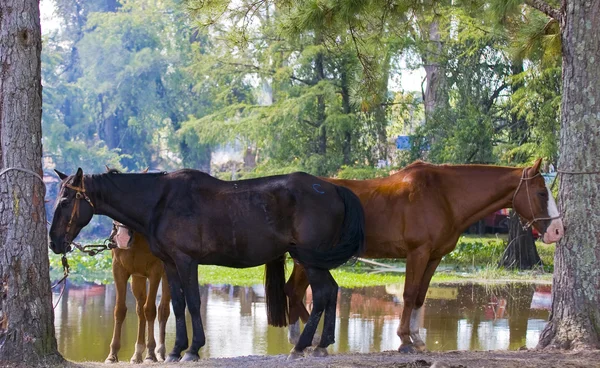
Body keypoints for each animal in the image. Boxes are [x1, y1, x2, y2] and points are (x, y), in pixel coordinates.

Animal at [104, 220, 171, 364]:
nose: (123, 238)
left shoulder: (155, 271)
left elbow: (150, 310)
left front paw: (150, 354)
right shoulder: (118, 269)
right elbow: (119, 310)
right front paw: (112, 354)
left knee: (163, 309)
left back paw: (160, 352)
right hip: (137, 278)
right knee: (140, 310)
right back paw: (137, 354)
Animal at [284, 159, 564, 354]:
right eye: (541, 193)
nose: (558, 230)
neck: (443, 196)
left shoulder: (434, 256)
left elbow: (420, 295)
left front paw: (417, 338)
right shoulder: (417, 253)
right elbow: (409, 294)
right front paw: (404, 340)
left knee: (294, 291)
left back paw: (303, 339)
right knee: (296, 291)